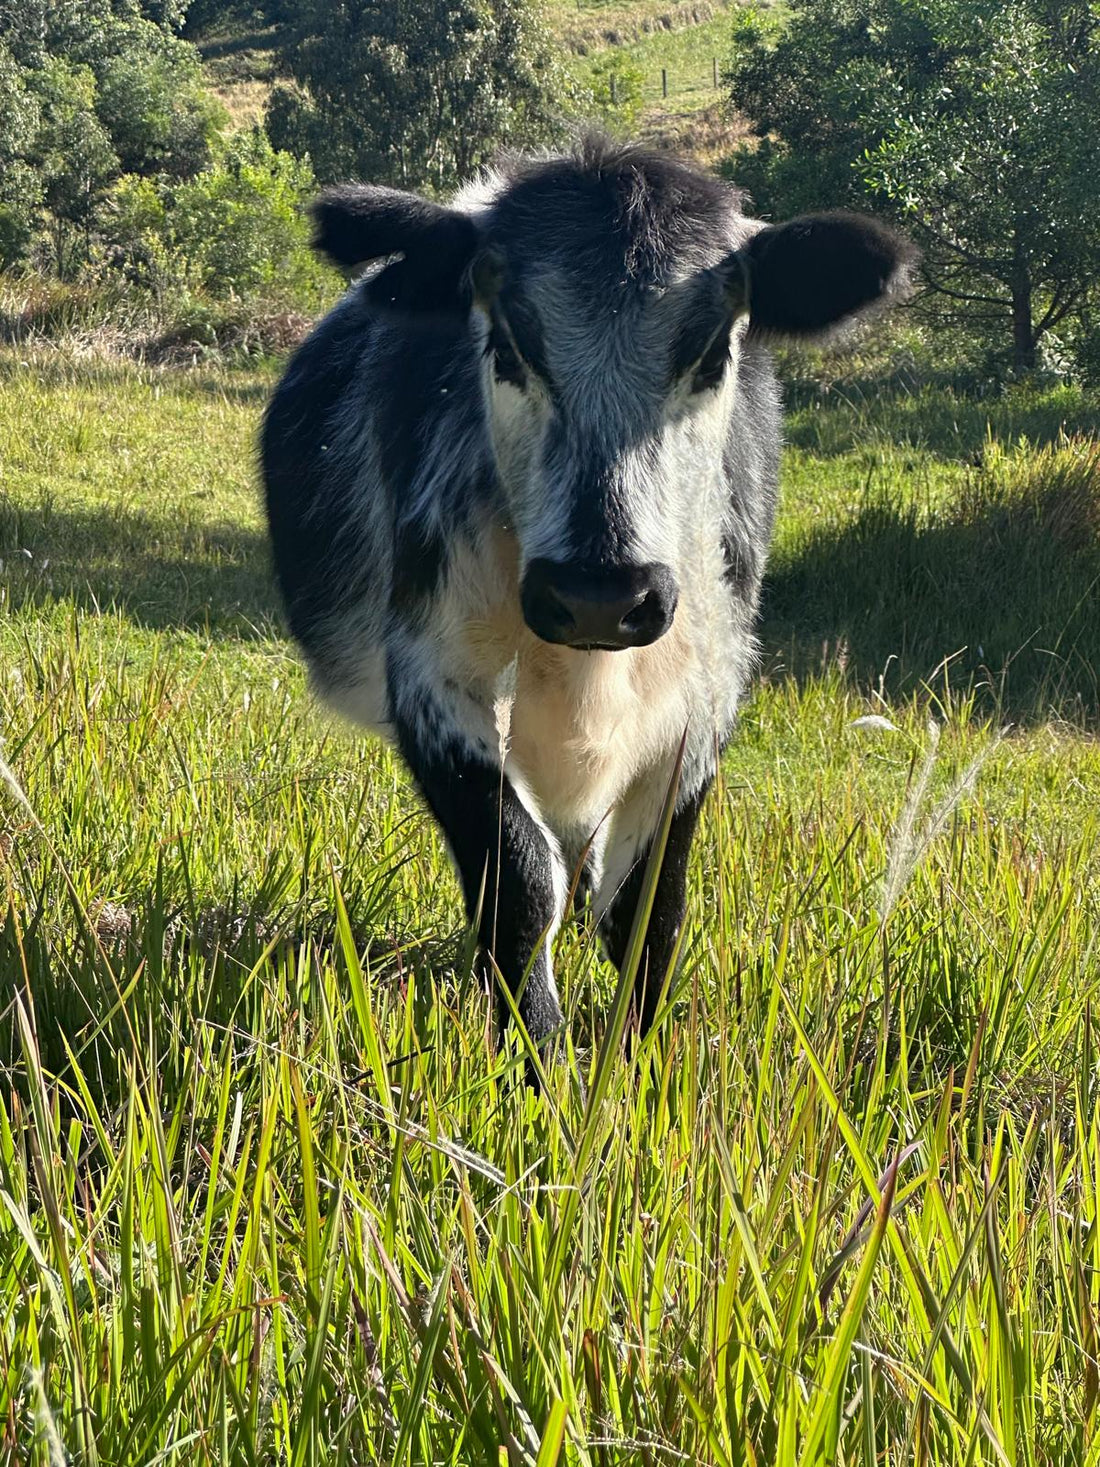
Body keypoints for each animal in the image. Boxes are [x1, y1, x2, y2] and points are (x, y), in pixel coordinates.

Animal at [262, 136, 914, 1068]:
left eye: (711, 352)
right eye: (506, 344)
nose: (600, 596)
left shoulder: (708, 695)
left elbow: (647, 904)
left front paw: (635, 1069)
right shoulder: (429, 678)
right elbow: (519, 885)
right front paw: (533, 1062)